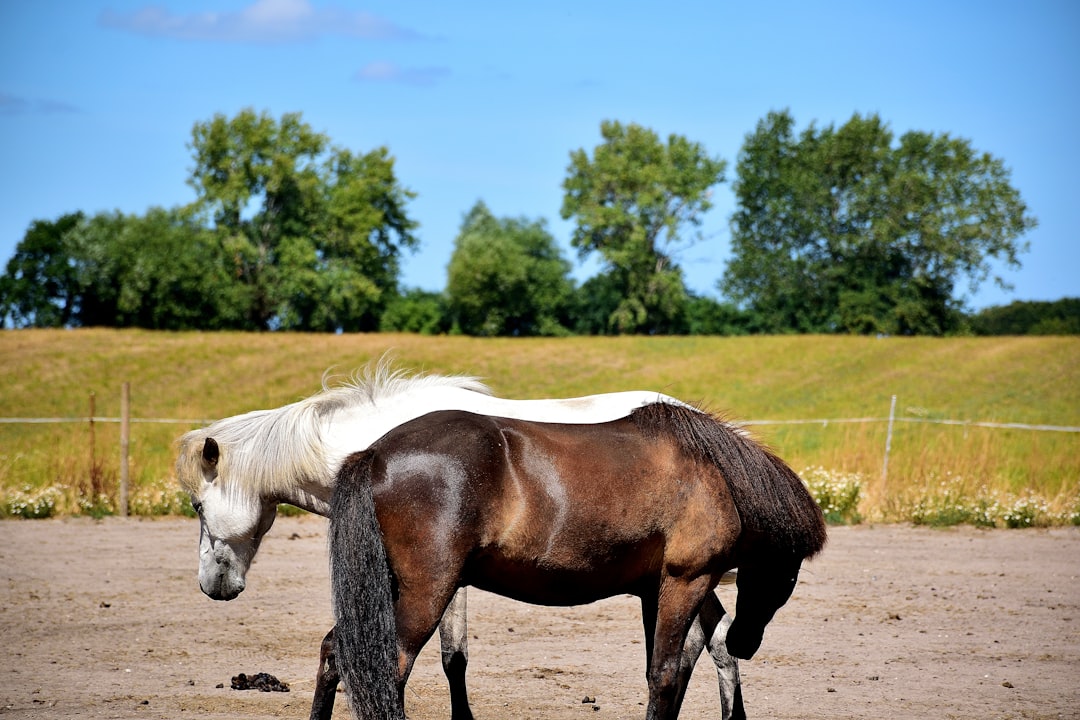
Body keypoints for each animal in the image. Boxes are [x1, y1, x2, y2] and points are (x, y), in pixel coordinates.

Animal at [177, 362, 747, 720]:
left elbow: (452, 657)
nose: (213, 586)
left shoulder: (444, 580)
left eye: (198, 506)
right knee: (712, 643)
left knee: (711, 644)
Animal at [328, 403, 825, 716]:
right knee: (387, 669)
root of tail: (374, 453)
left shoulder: (656, 591)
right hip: (427, 593)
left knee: (336, 652)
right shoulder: (687, 581)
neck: (714, 476)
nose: (746, 641)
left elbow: (672, 671)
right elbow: (666, 675)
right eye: (789, 574)